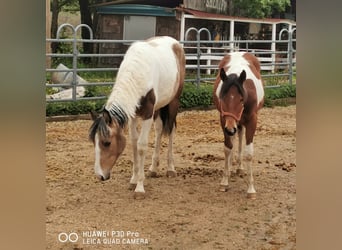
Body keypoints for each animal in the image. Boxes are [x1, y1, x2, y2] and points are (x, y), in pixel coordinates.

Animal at [88, 35, 184, 199]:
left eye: (106, 143)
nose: (100, 175)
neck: (138, 72)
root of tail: (175, 42)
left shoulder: (147, 114)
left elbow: (141, 145)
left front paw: (139, 187)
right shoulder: (133, 114)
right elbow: (133, 142)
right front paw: (133, 180)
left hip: (173, 102)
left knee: (171, 130)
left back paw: (171, 169)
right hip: (159, 107)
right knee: (159, 129)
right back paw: (153, 169)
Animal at [214, 51, 264, 198]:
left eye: (241, 99)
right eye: (222, 97)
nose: (230, 128)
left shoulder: (252, 121)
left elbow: (249, 153)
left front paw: (251, 189)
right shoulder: (223, 120)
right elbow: (227, 148)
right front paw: (224, 182)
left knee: (240, 137)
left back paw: (240, 168)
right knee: (235, 139)